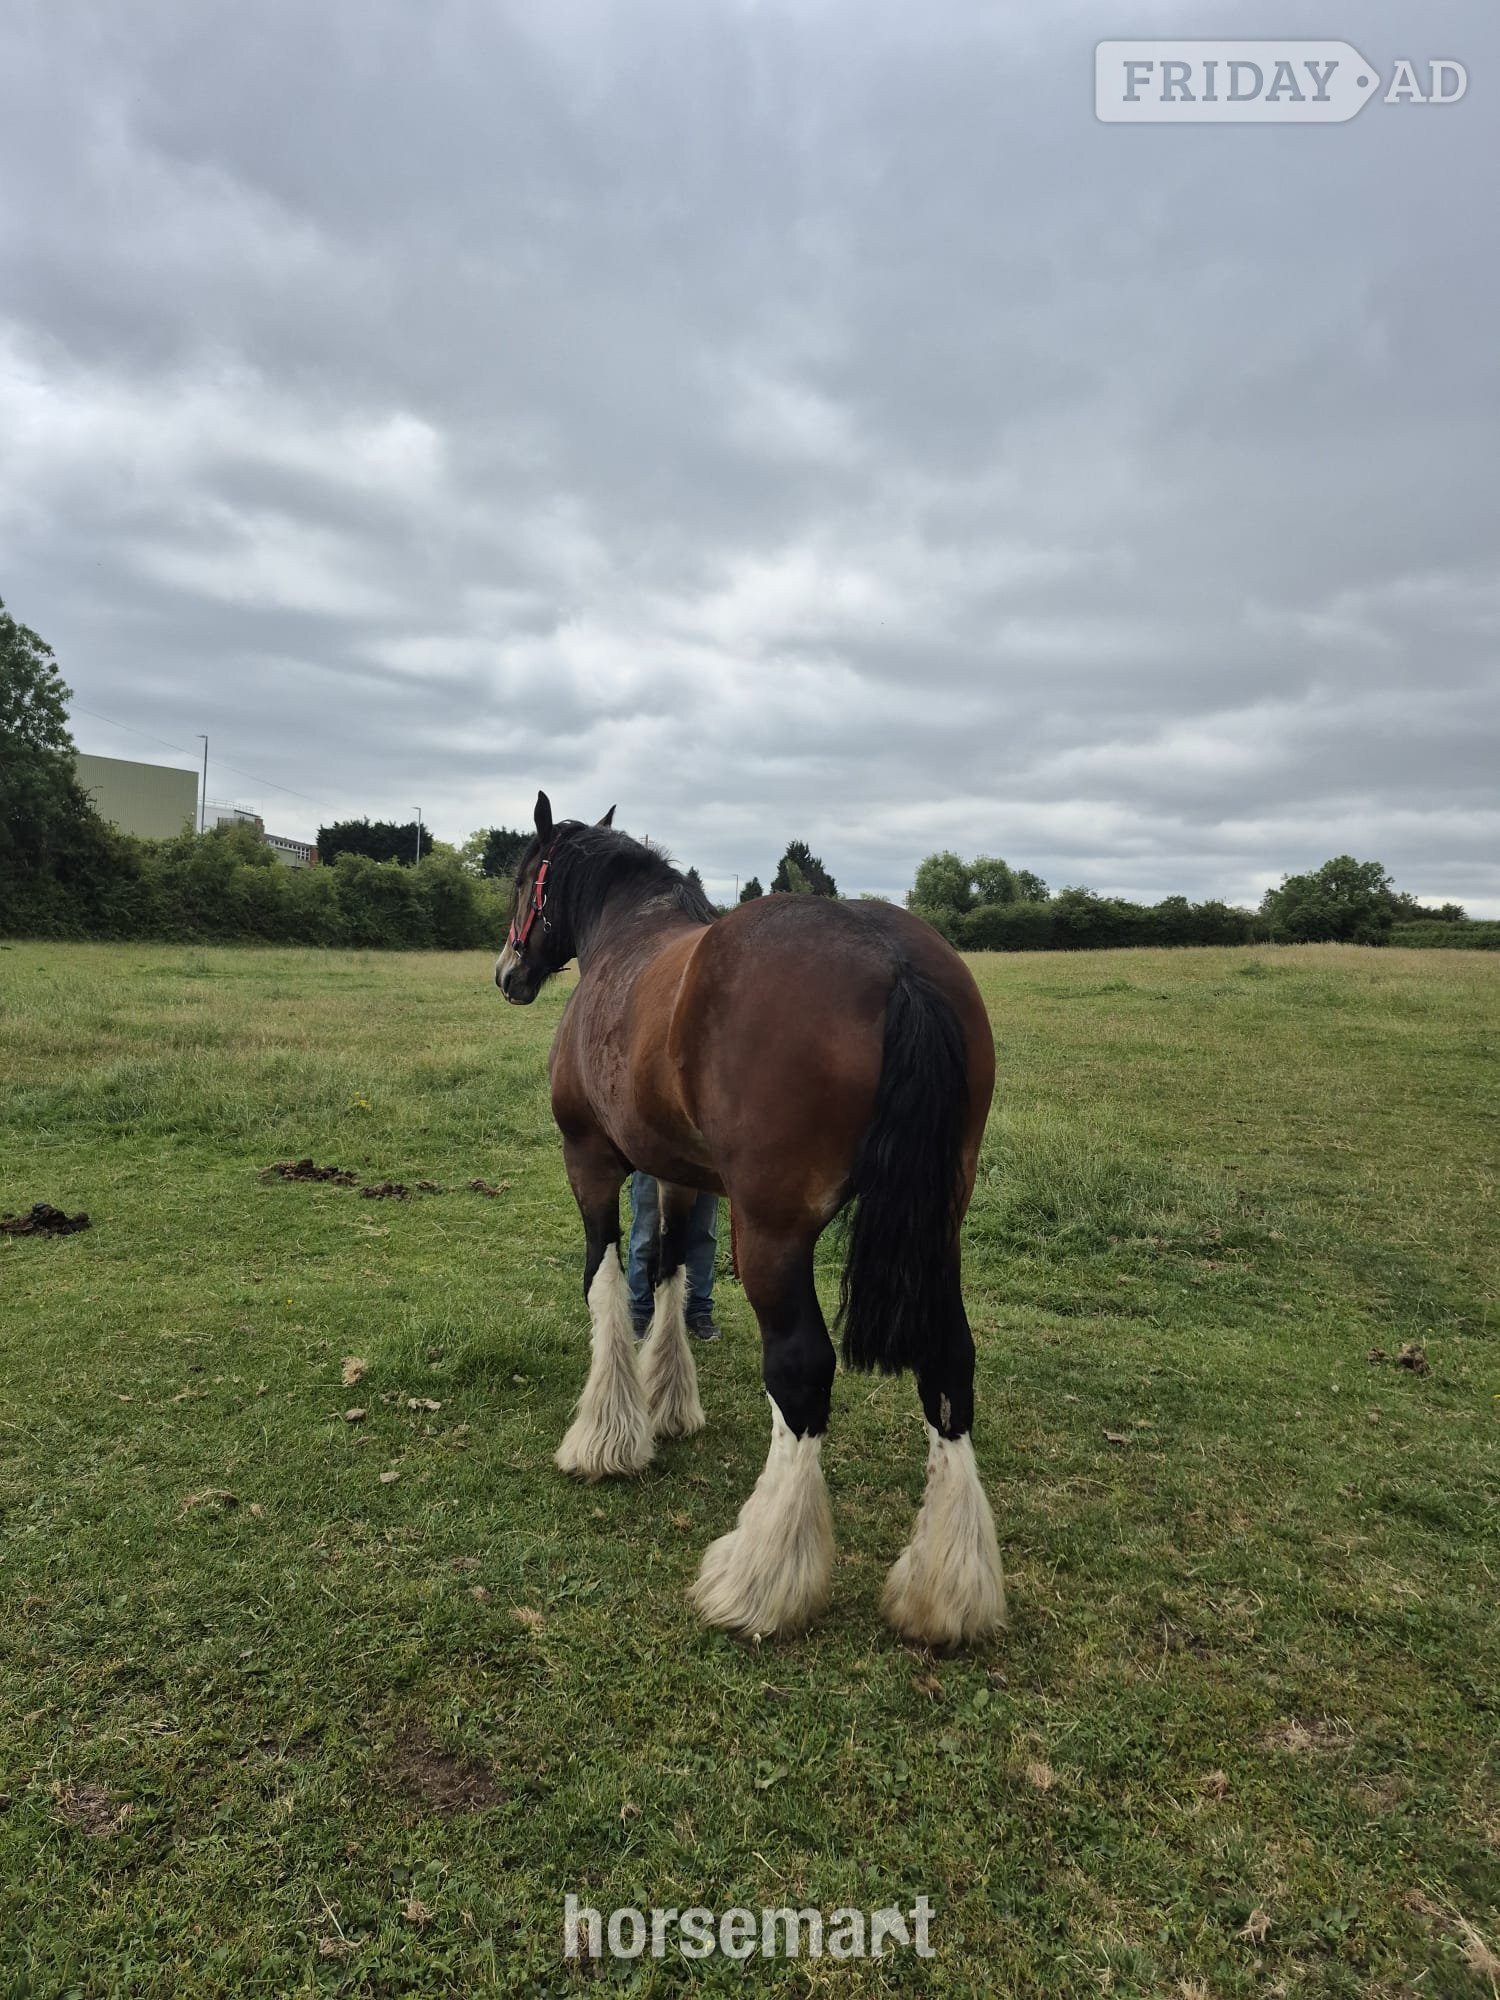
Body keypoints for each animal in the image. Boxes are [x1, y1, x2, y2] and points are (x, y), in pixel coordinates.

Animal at [494, 792, 1004, 1646]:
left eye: (523, 876)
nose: (508, 972)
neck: (626, 939)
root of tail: (895, 961)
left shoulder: (590, 1161)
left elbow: (605, 1280)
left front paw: (606, 1436)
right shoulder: (681, 1175)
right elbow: (669, 1267)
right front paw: (668, 1405)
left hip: (769, 1232)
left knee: (801, 1374)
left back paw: (762, 1578)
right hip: (940, 1228)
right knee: (948, 1365)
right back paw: (948, 1590)